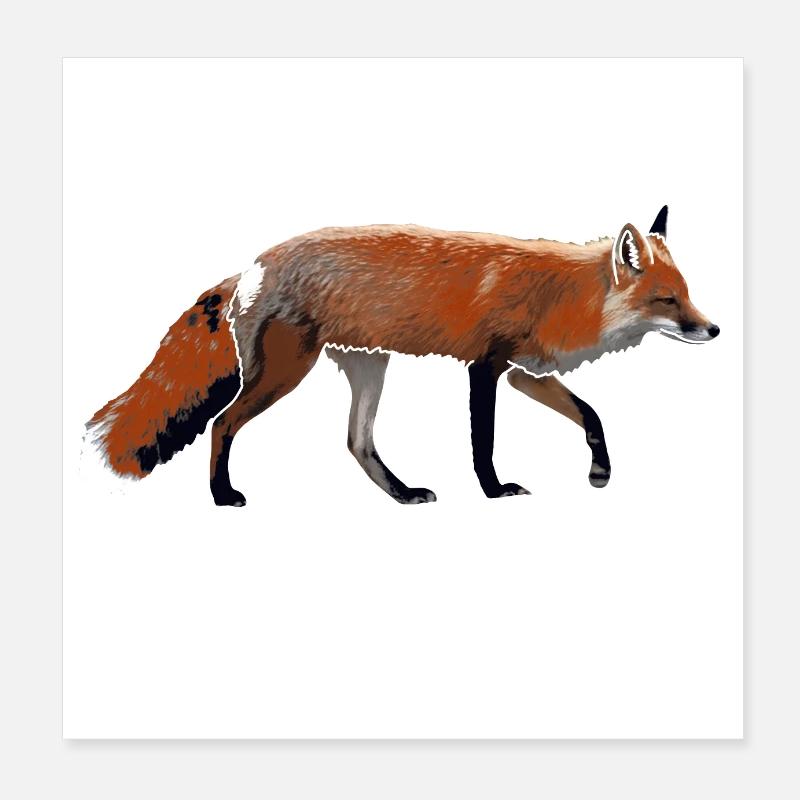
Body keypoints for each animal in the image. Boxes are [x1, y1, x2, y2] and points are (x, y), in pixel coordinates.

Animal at [86, 206, 719, 506]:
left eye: (688, 293)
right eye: (667, 300)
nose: (713, 329)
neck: (564, 296)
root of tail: (254, 265)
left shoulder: (526, 374)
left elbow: (592, 416)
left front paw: (599, 471)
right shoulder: (486, 368)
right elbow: (483, 443)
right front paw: (493, 491)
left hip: (369, 366)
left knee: (357, 443)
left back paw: (403, 493)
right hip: (285, 374)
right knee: (222, 425)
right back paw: (222, 497)